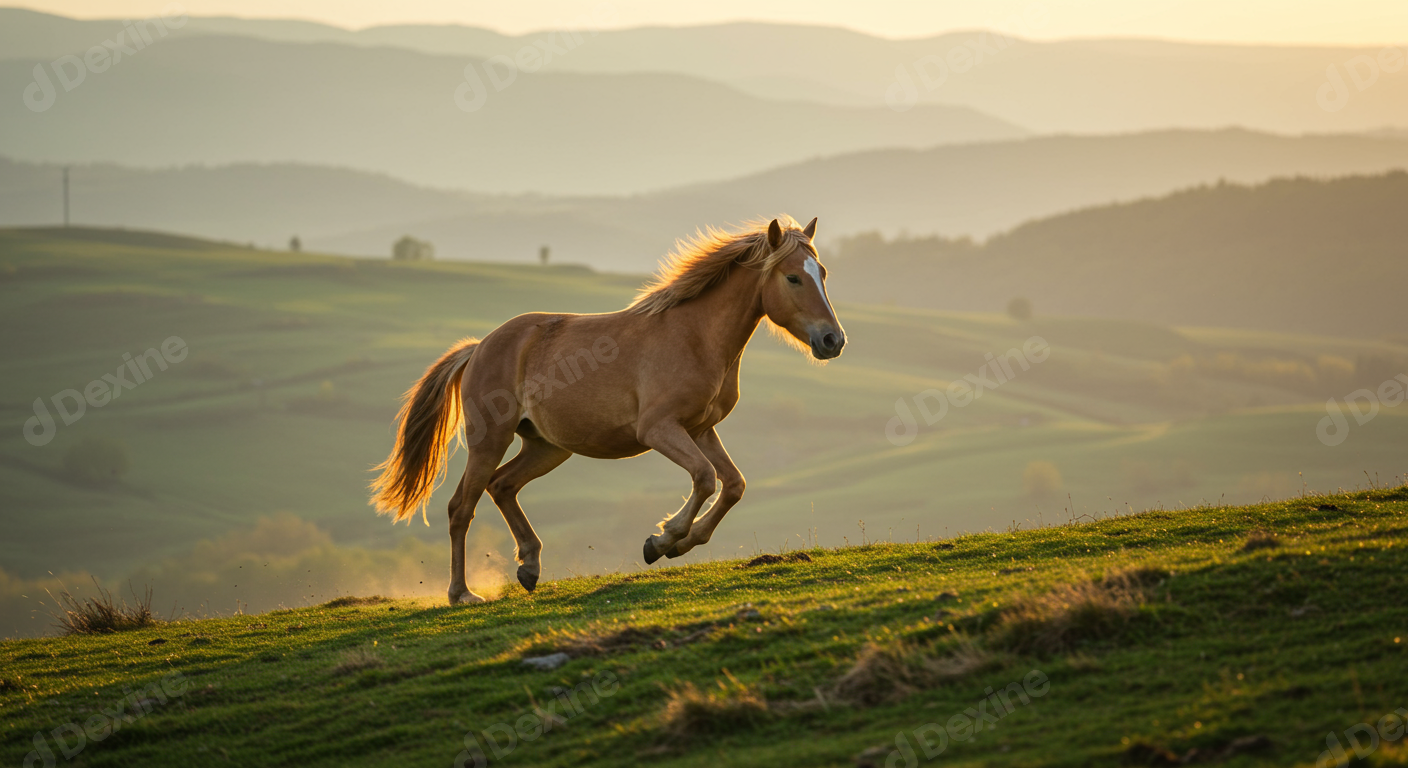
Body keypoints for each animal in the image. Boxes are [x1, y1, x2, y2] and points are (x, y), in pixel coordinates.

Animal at [370, 216, 846, 604]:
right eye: (793, 278)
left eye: (821, 273)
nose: (832, 340)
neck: (695, 336)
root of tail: (478, 347)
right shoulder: (659, 429)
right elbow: (705, 477)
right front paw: (662, 541)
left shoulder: (701, 429)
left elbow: (733, 484)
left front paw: (681, 543)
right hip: (490, 439)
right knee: (460, 507)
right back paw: (462, 593)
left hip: (547, 446)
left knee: (502, 486)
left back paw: (529, 567)